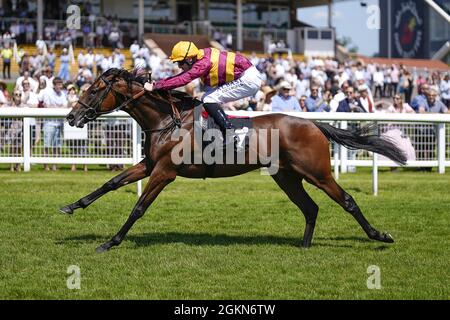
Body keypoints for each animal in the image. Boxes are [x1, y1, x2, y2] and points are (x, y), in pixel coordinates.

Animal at [61, 69, 406, 254]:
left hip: (317, 173)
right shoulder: (149, 164)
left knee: (346, 200)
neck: (167, 120)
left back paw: (380, 235)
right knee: (310, 208)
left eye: (94, 90)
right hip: (287, 177)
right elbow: (112, 182)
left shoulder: (165, 172)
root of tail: (313, 124)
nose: (71, 117)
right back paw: (305, 246)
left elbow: (139, 207)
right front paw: (72, 206)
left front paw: (111, 241)